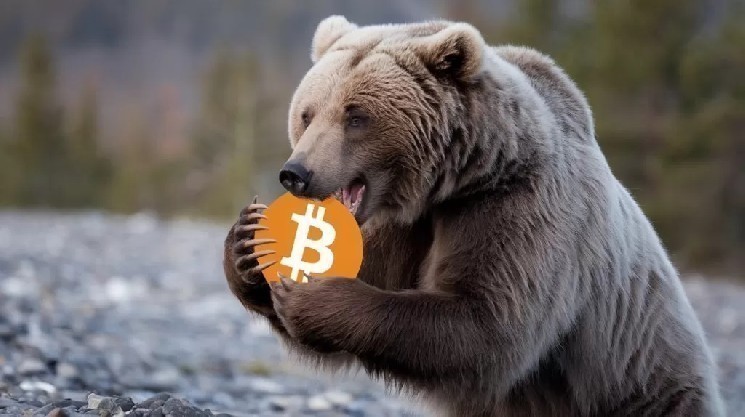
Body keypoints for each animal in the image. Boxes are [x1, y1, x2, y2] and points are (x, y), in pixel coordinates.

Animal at [223, 16, 724, 417]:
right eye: (307, 114)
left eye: (356, 116)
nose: (296, 173)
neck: (455, 179)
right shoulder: (403, 225)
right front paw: (247, 246)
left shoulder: (517, 206)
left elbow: (488, 324)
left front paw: (313, 294)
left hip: (641, 381)